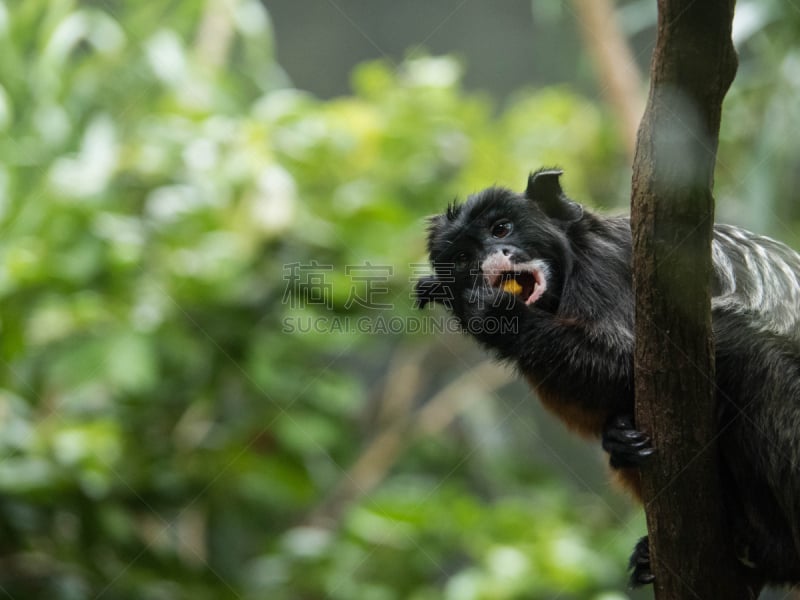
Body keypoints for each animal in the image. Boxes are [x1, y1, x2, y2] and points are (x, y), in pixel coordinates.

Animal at [416, 166, 800, 588]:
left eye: (501, 229)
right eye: (464, 257)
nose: (492, 258)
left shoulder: (607, 266)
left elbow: (630, 364)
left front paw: (488, 313)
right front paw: (619, 439)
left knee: (741, 344)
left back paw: (774, 550)